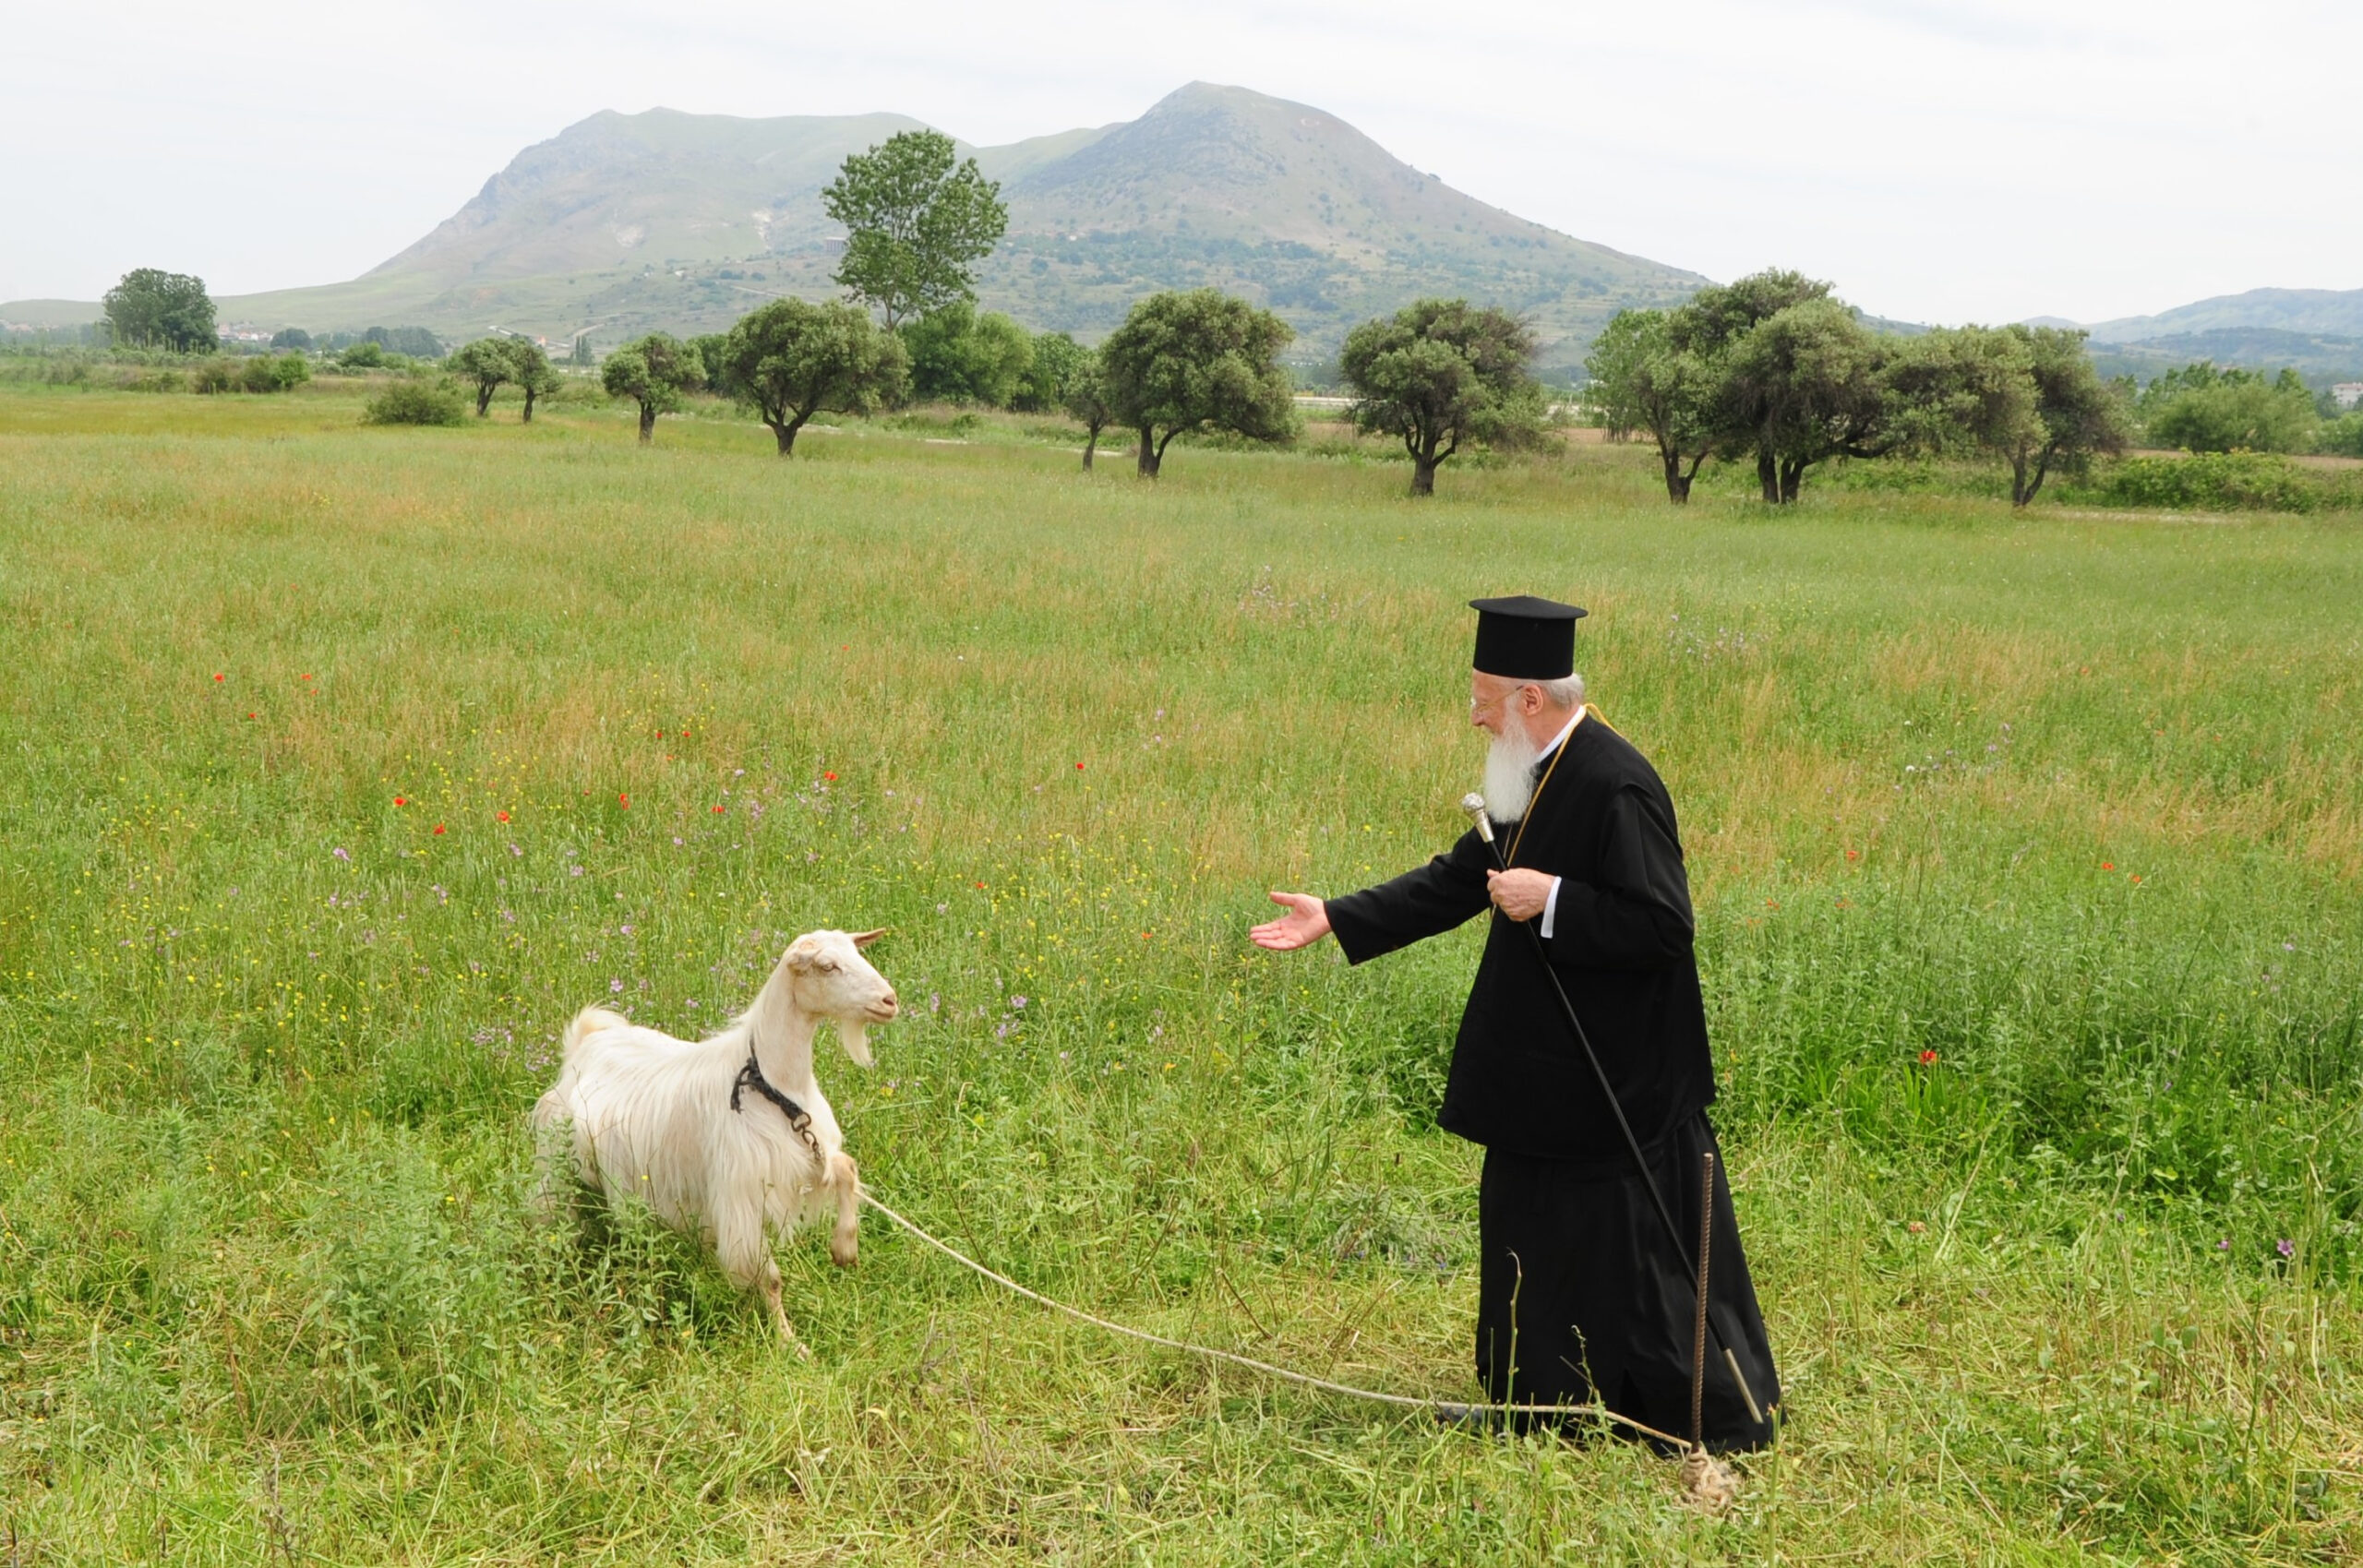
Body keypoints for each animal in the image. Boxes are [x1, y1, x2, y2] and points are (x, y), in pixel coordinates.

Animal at [534, 926, 893, 1350]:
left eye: (857, 953)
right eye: (827, 965)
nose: (889, 1000)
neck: (771, 1086)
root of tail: (583, 1043)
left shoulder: (806, 1154)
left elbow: (847, 1170)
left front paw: (845, 1249)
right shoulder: (742, 1195)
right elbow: (770, 1278)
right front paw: (789, 1343)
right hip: (557, 1169)